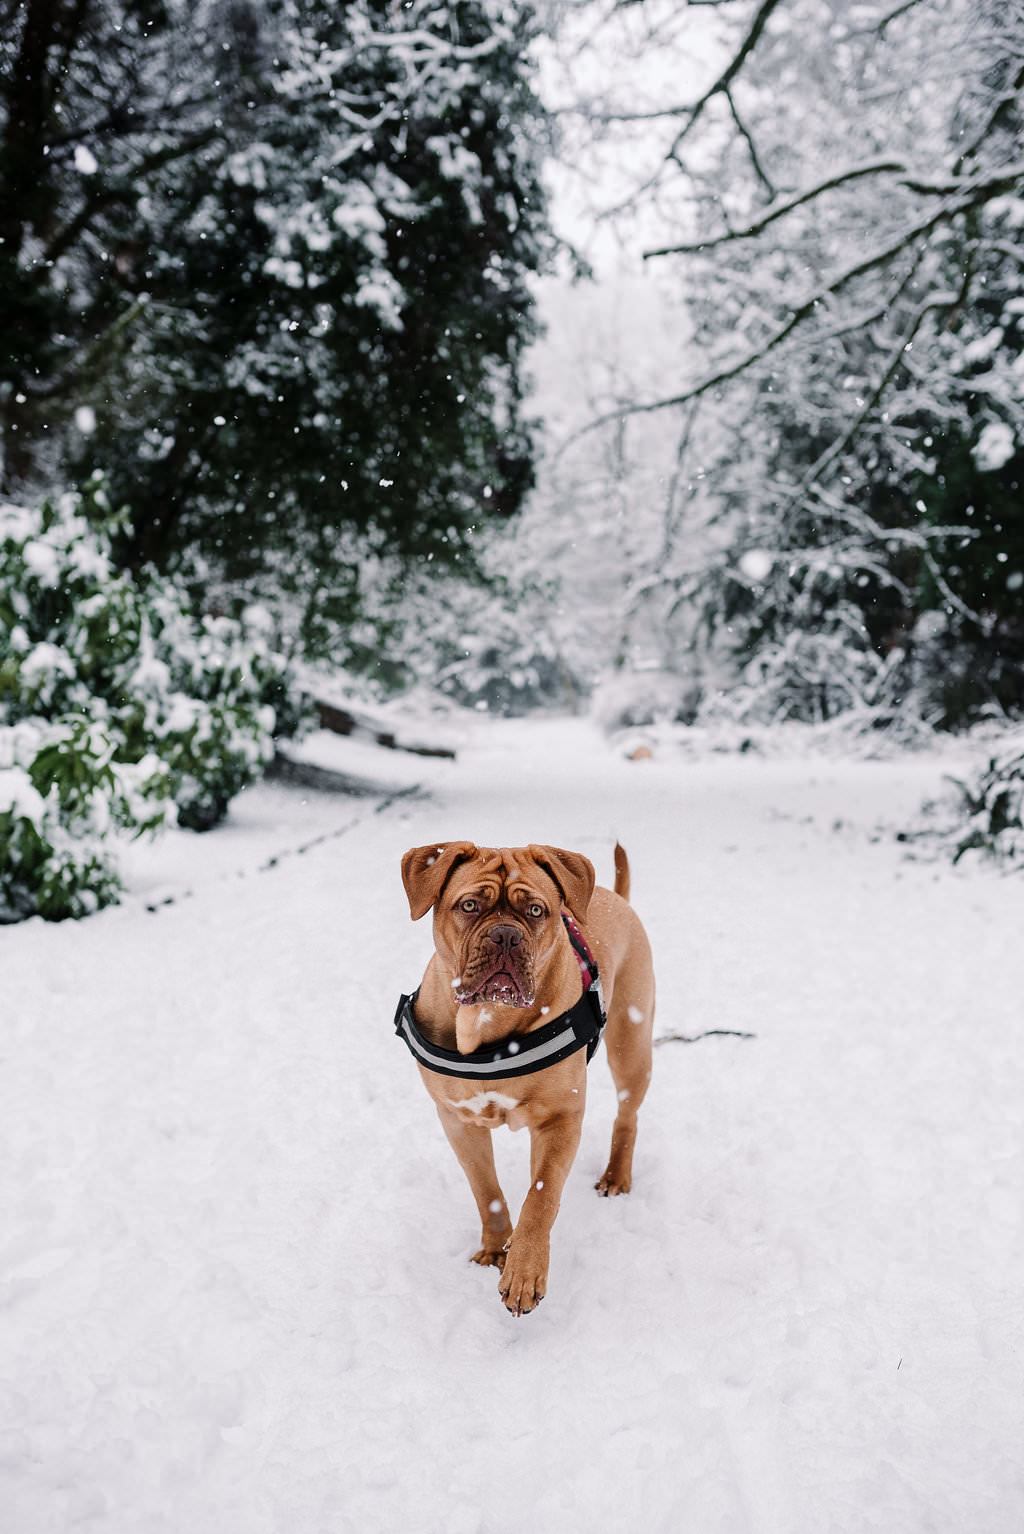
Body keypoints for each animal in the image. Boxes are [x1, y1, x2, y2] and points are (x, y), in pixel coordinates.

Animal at [395, 846, 653, 1313]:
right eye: (469, 905)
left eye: (535, 910)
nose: (505, 936)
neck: (488, 1022)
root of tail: (614, 896)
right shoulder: (458, 1121)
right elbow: (487, 1189)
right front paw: (496, 1249)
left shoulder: (559, 1120)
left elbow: (541, 1196)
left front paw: (524, 1271)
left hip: (632, 1044)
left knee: (628, 1113)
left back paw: (615, 1176)